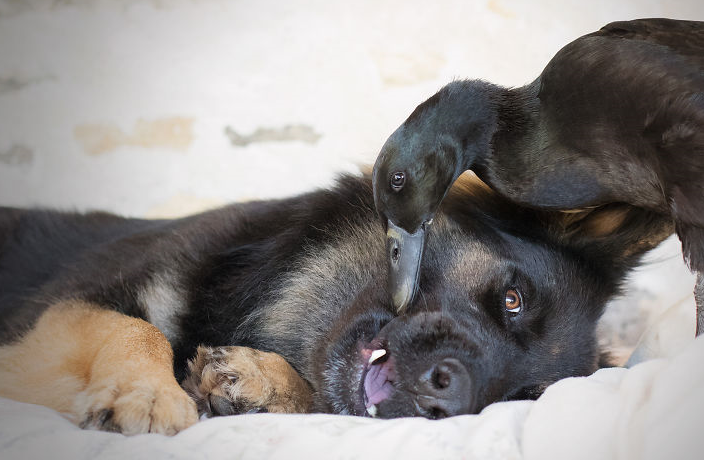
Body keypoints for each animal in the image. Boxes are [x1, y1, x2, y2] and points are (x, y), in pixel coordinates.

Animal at [0, 172, 672, 434]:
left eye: (520, 398)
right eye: (512, 298)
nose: (445, 399)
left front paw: (263, 382)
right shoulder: (47, 322)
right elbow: (139, 329)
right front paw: (146, 393)